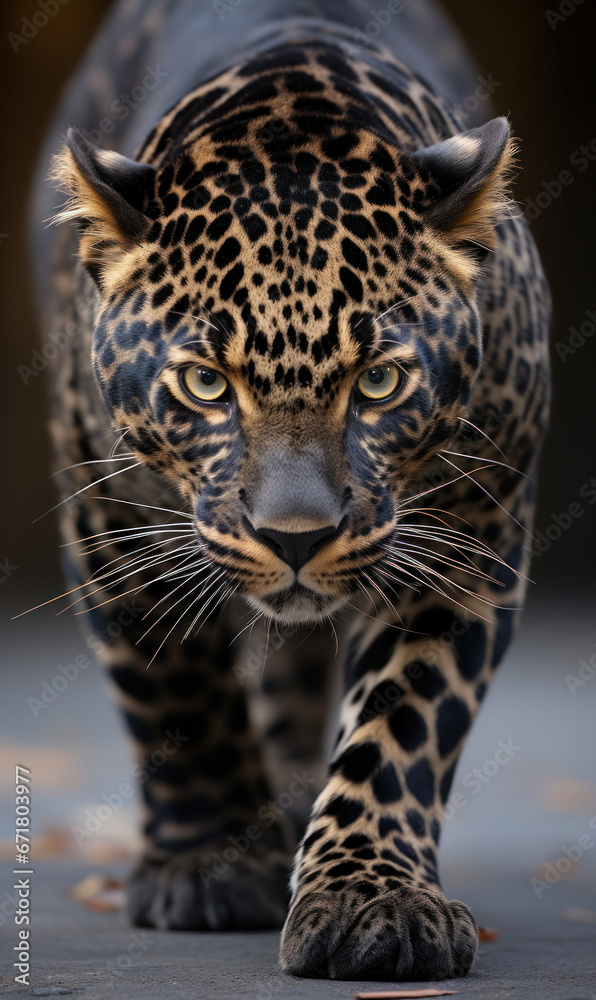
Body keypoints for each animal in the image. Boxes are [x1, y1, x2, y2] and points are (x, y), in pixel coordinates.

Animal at [30, 0, 550, 982]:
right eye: (204, 383)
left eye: (379, 382)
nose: (297, 536)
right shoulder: (107, 519)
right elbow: (177, 691)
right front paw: (209, 868)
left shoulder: (471, 539)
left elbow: (402, 726)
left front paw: (372, 901)